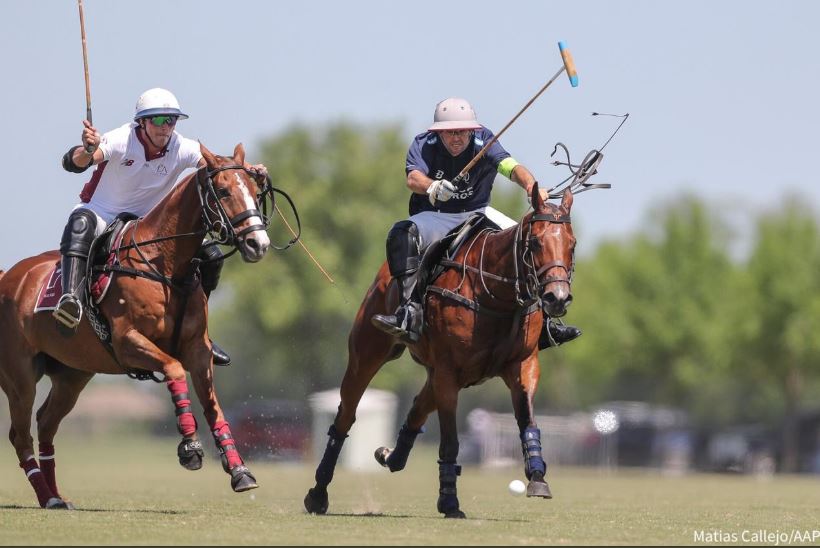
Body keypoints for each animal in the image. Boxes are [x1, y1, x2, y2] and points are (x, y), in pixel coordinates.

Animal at [0, 142, 276, 510]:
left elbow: (213, 406)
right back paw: (47, 497)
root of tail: (8, 277)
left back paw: (57, 495)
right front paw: (190, 448)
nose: (258, 244)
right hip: (19, 377)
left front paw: (239, 471)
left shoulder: (198, 350)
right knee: (20, 435)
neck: (167, 265)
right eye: (223, 191)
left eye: (255, 191)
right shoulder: (128, 342)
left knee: (45, 424)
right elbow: (173, 369)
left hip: (72, 374)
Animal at [302, 184, 576, 520]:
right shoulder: (448, 371)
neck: (497, 295)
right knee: (345, 417)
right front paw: (449, 502)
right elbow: (450, 443)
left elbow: (527, 421)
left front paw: (537, 477)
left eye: (572, 244)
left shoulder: (523, 365)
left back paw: (391, 456)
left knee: (417, 406)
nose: (557, 298)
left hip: (443, 373)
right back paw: (318, 494)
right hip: (367, 354)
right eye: (536, 242)